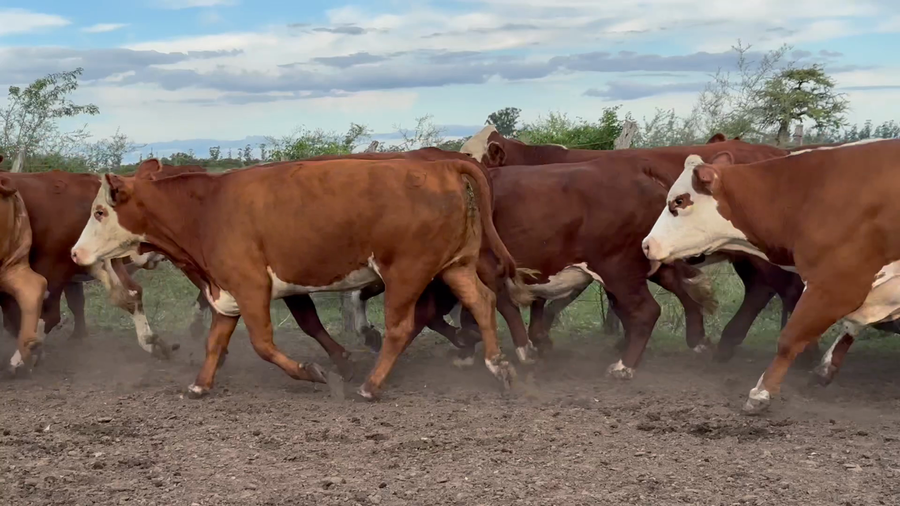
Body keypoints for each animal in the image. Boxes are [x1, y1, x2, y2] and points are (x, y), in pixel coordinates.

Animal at [70, 158, 531, 400]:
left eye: (99, 211)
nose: (75, 253)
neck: (206, 211)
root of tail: (438, 163)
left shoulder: (252, 287)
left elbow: (263, 344)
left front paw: (313, 371)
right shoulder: (227, 293)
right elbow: (215, 342)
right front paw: (200, 385)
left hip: (407, 271)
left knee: (402, 327)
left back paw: (371, 385)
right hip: (455, 264)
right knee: (482, 303)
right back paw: (498, 365)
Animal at [641, 138, 900, 413]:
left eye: (679, 201)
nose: (646, 244)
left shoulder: (836, 283)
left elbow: (790, 337)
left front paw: (761, 392)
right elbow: (853, 324)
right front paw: (824, 370)